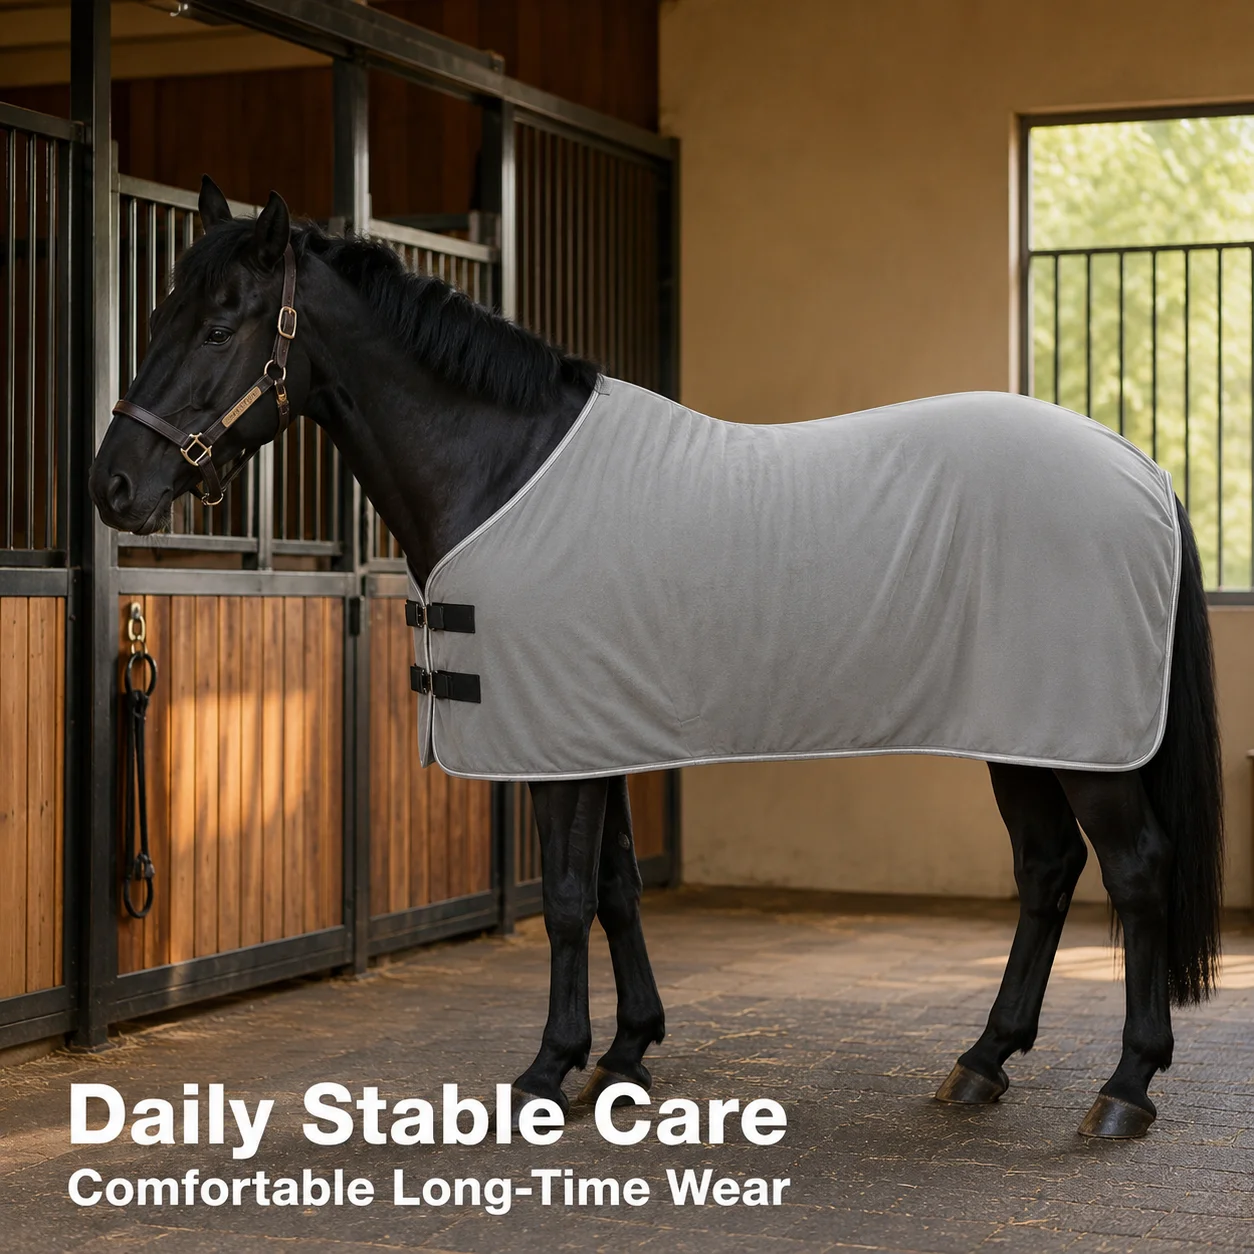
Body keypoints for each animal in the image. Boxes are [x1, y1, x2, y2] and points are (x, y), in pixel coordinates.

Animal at [89, 177, 1224, 1141]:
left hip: (1085, 743)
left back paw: (1125, 1088)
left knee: (1133, 872)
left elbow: (563, 897)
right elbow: (619, 887)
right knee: (1048, 871)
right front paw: (627, 1054)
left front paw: (547, 1070)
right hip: (1024, 732)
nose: (113, 486)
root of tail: (1141, 468)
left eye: (221, 326)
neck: (504, 467)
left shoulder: (557, 746)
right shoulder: (592, 734)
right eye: (156, 319)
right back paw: (983, 1062)